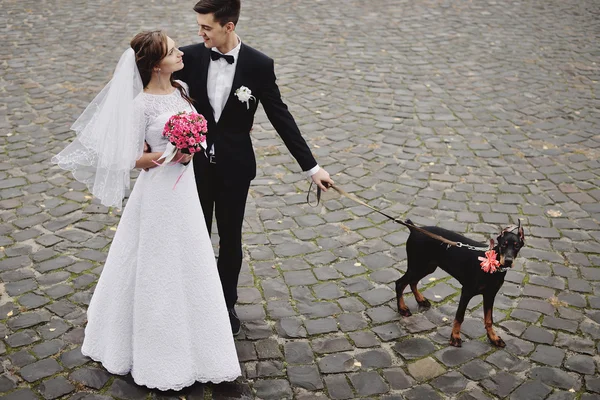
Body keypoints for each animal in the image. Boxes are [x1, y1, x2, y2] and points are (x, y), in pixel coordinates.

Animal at [396, 220, 528, 348]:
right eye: (503, 245)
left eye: (516, 246)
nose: (508, 261)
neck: (494, 265)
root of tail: (414, 228)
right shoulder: (466, 292)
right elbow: (459, 316)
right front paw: (455, 337)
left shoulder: (490, 294)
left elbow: (489, 319)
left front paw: (494, 338)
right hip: (418, 265)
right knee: (400, 283)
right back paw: (402, 308)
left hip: (427, 267)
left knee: (412, 281)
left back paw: (421, 300)